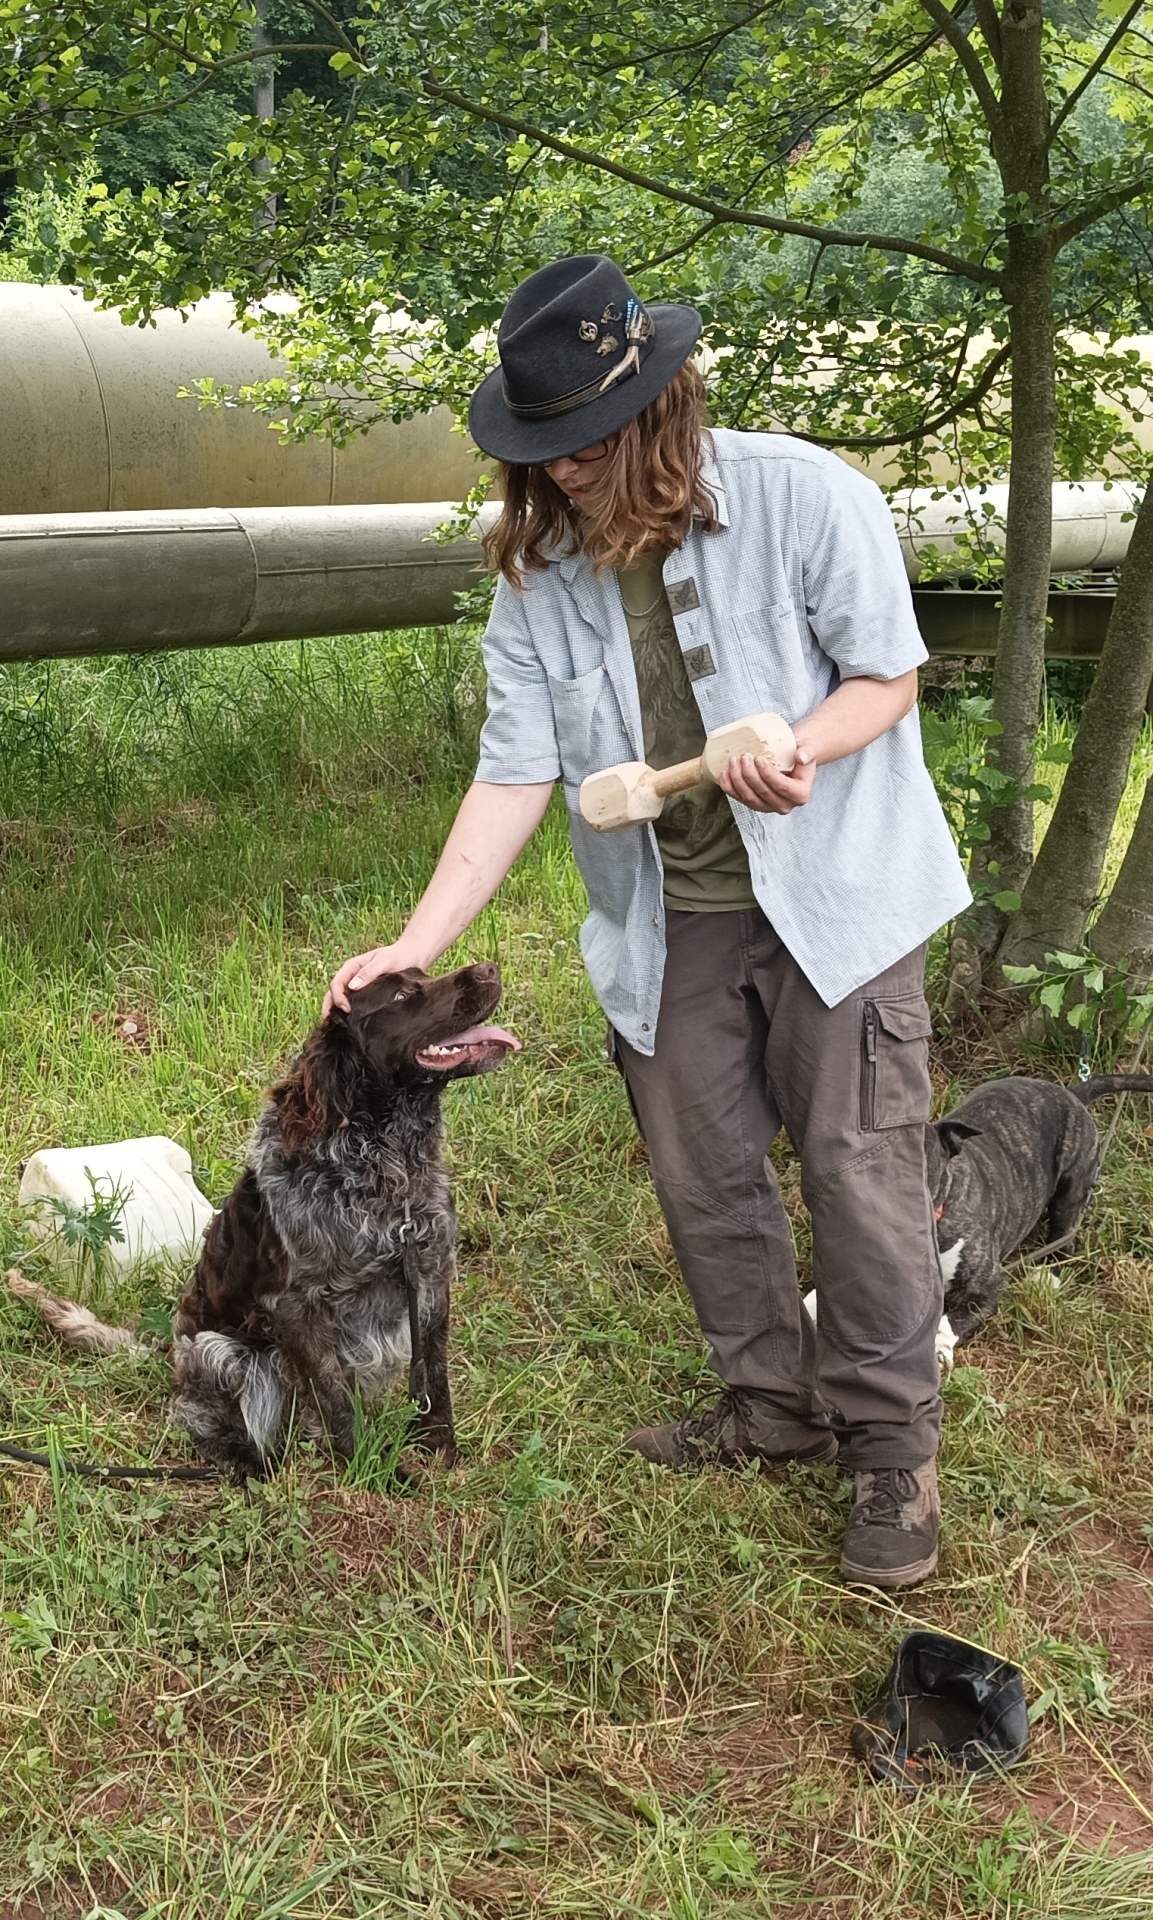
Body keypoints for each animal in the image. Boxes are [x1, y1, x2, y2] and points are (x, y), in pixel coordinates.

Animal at [13, 963, 519, 1480]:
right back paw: (241, 1462)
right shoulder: (298, 1308)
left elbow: (434, 1383)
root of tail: (171, 1353)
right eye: (400, 994)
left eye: (424, 973)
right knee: (195, 1416)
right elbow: (338, 1404)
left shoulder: (430, 1281)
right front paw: (371, 1472)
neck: (387, 1172)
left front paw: (442, 1456)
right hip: (222, 1352)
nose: (489, 968)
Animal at [925, 1072, 1153, 1344]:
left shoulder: (983, 1291)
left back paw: (1046, 1277)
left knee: (1064, 1240)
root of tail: (1072, 1094)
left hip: (1070, 1191)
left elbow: (947, 1324)